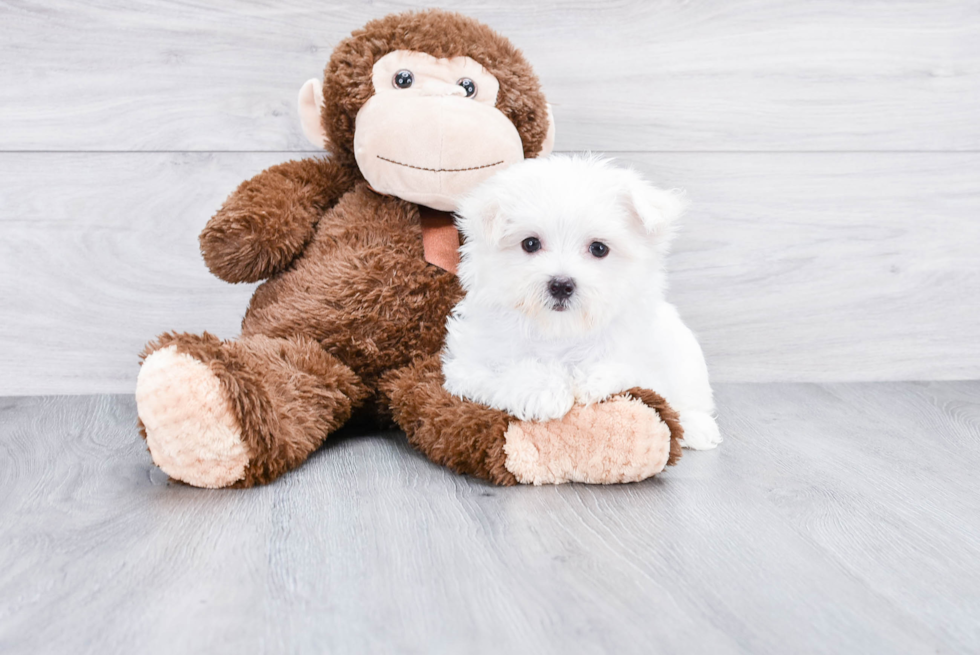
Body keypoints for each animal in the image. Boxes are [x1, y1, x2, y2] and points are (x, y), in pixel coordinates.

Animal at [442, 155, 720, 452]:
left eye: (598, 248)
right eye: (530, 243)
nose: (561, 285)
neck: (560, 329)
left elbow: (631, 369)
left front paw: (593, 379)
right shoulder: (468, 364)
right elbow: (505, 370)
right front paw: (546, 390)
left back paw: (697, 427)